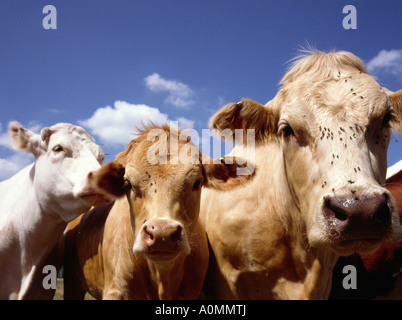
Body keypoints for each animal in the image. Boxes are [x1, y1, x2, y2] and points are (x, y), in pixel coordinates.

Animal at [62, 124, 254, 298]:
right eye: (128, 184)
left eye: (197, 182)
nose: (162, 234)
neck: (163, 277)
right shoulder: (114, 291)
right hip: (71, 282)